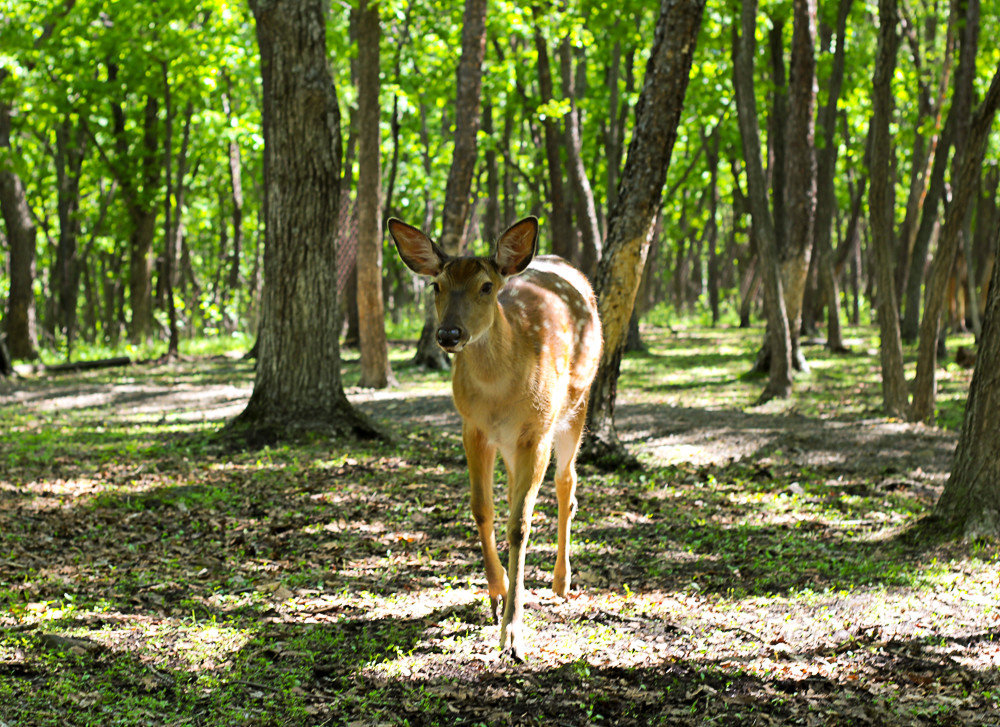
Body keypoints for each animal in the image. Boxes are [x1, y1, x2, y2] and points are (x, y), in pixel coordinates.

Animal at [384, 215, 600, 660]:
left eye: (486, 286)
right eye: (436, 285)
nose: (448, 334)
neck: (499, 390)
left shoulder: (537, 429)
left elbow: (519, 523)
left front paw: (513, 635)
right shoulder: (473, 427)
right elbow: (482, 510)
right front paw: (497, 594)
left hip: (576, 405)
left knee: (567, 484)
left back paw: (561, 581)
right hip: (513, 442)